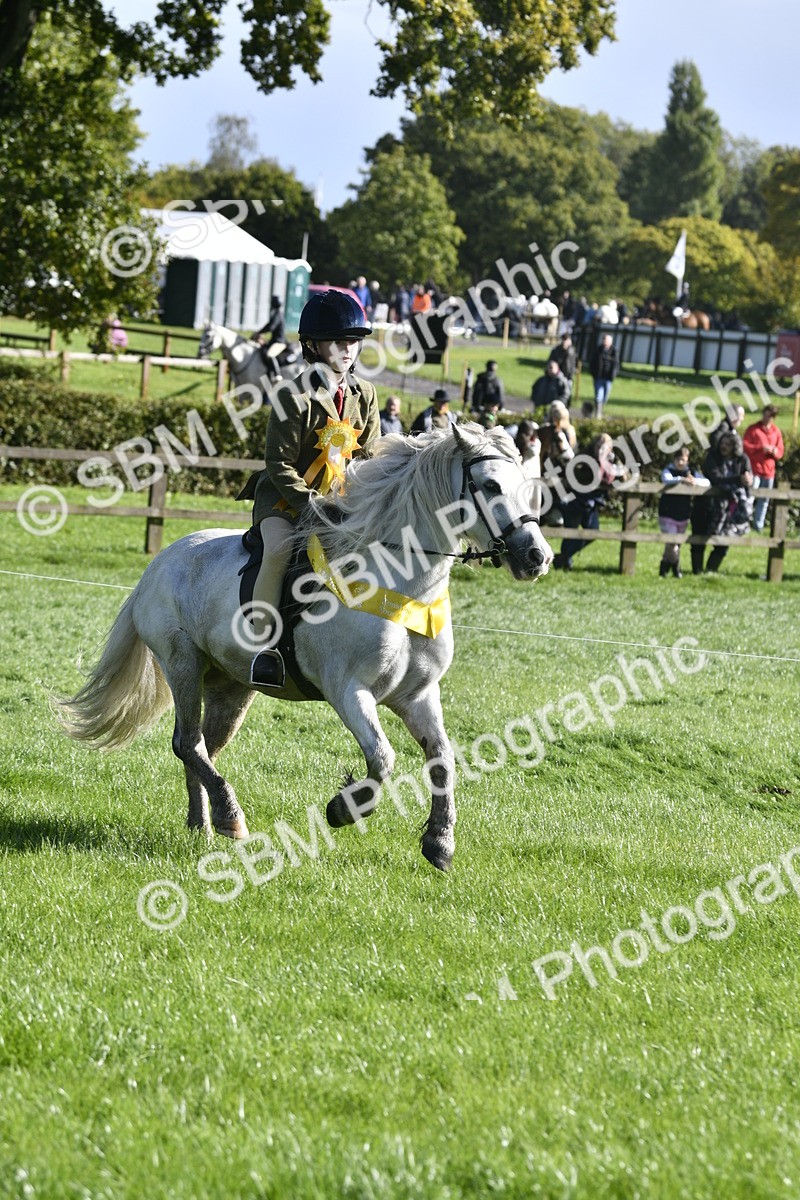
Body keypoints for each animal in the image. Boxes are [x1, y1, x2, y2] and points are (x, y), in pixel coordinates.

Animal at [57, 424, 553, 872]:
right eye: (489, 485)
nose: (537, 557)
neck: (401, 583)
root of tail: (158, 565)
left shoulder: (418, 695)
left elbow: (443, 760)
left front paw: (439, 843)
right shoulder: (348, 690)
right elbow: (382, 758)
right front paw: (343, 809)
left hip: (231, 684)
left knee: (202, 747)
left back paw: (204, 822)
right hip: (182, 663)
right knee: (187, 742)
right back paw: (230, 816)